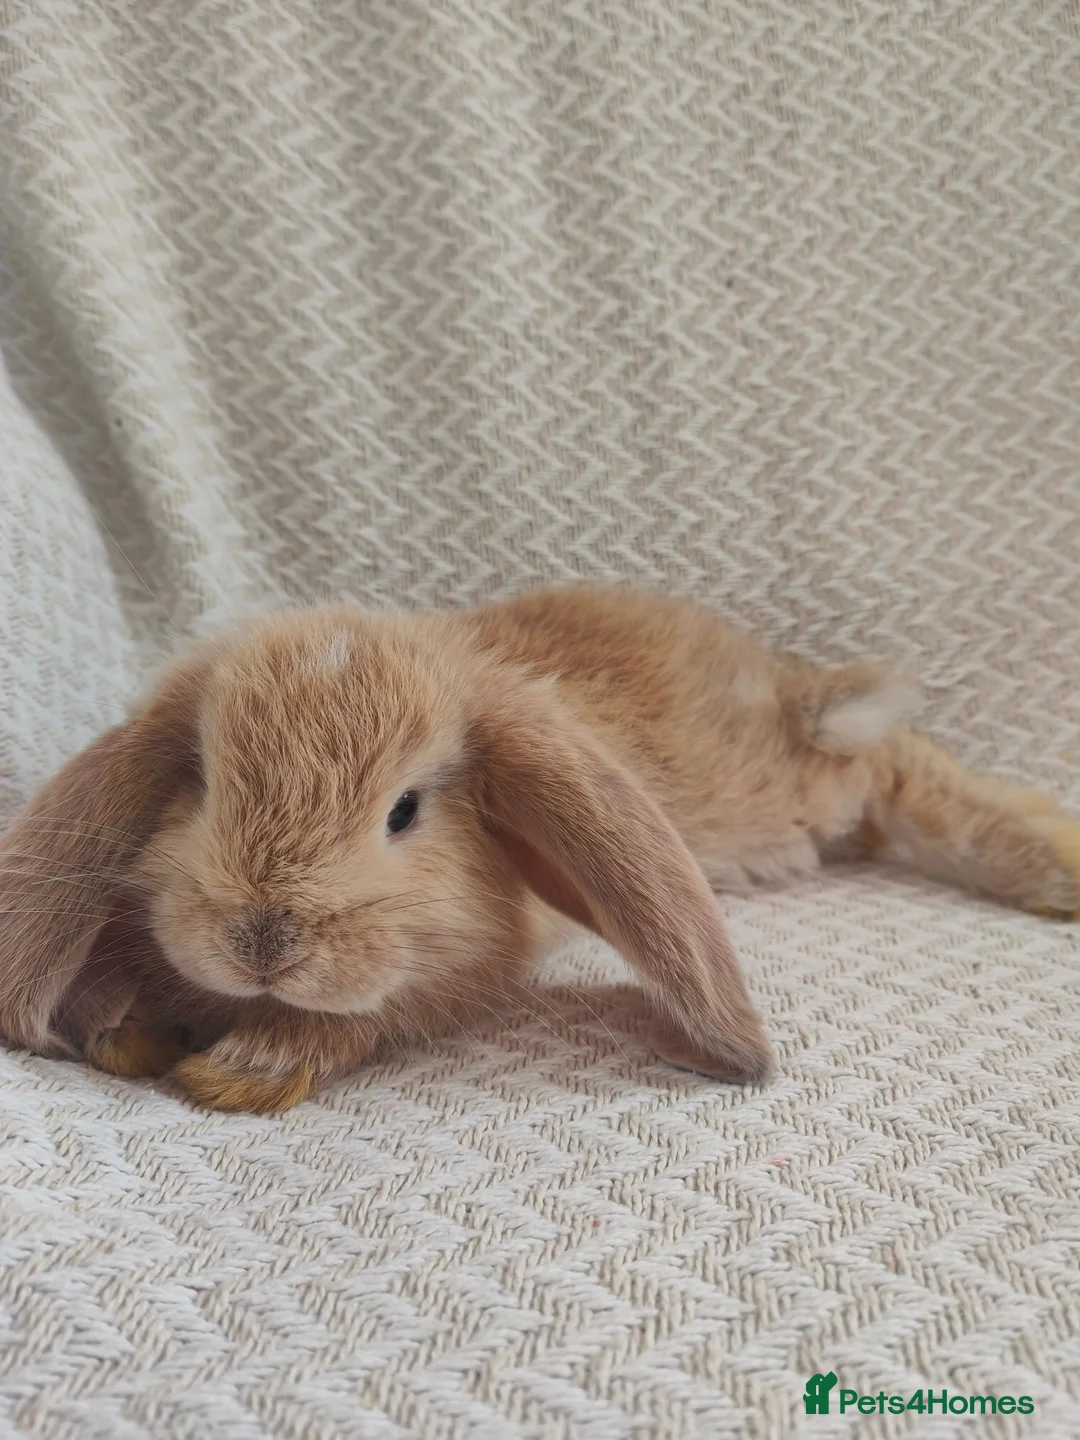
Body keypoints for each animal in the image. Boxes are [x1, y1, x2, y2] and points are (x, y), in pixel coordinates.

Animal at [0, 585, 1077, 1113]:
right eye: (206, 783)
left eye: (404, 811)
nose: (264, 941)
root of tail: (780, 684)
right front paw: (126, 1028)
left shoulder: (459, 970)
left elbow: (360, 1020)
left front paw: (241, 1071)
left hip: (782, 795)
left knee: (895, 767)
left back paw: (1053, 868)